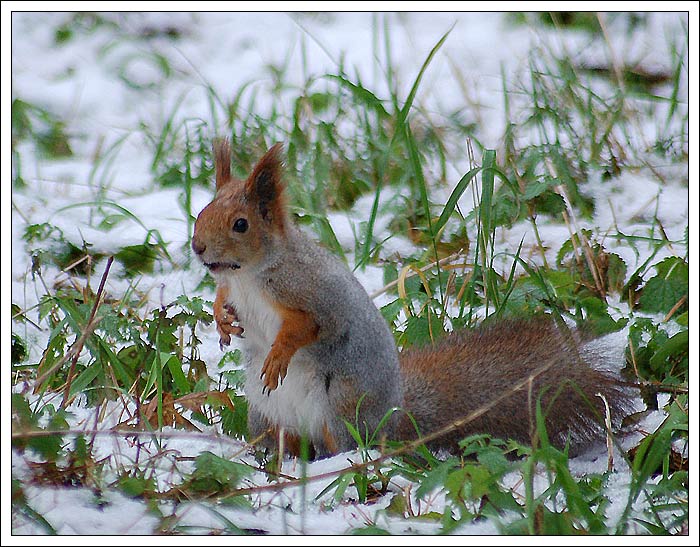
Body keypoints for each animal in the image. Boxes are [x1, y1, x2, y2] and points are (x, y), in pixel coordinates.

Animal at [190, 141, 628, 458]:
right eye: (201, 210)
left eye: (241, 225)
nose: (197, 247)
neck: (247, 276)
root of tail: (393, 418)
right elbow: (223, 300)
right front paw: (222, 318)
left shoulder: (312, 292)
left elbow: (308, 326)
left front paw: (279, 355)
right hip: (267, 415)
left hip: (342, 407)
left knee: (345, 445)